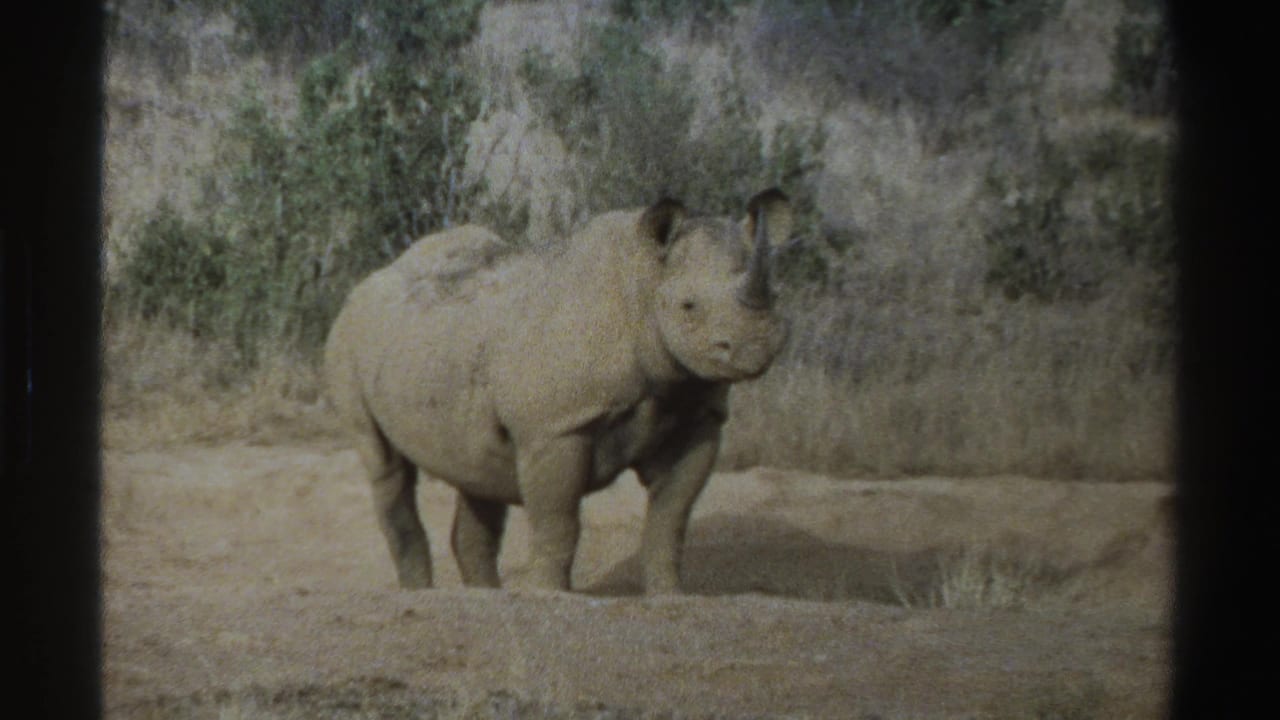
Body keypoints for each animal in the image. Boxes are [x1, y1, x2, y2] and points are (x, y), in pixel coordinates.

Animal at [323, 189, 791, 593]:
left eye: (775, 295)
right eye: (688, 306)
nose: (753, 346)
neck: (644, 285)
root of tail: (367, 282)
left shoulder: (697, 415)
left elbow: (670, 518)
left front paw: (670, 596)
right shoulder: (555, 427)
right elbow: (559, 520)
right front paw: (549, 595)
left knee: (476, 471)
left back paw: (485, 597)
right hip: (348, 341)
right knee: (385, 463)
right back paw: (421, 593)